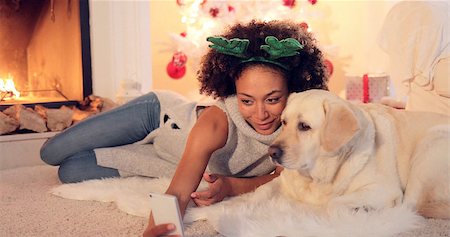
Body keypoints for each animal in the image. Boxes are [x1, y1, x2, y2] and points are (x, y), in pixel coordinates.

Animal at [268, 90, 448, 218]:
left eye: (304, 126)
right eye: (284, 122)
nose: (272, 152)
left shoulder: (384, 189)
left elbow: (333, 204)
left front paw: (360, 210)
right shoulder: (281, 182)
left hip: (430, 143)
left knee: (409, 205)